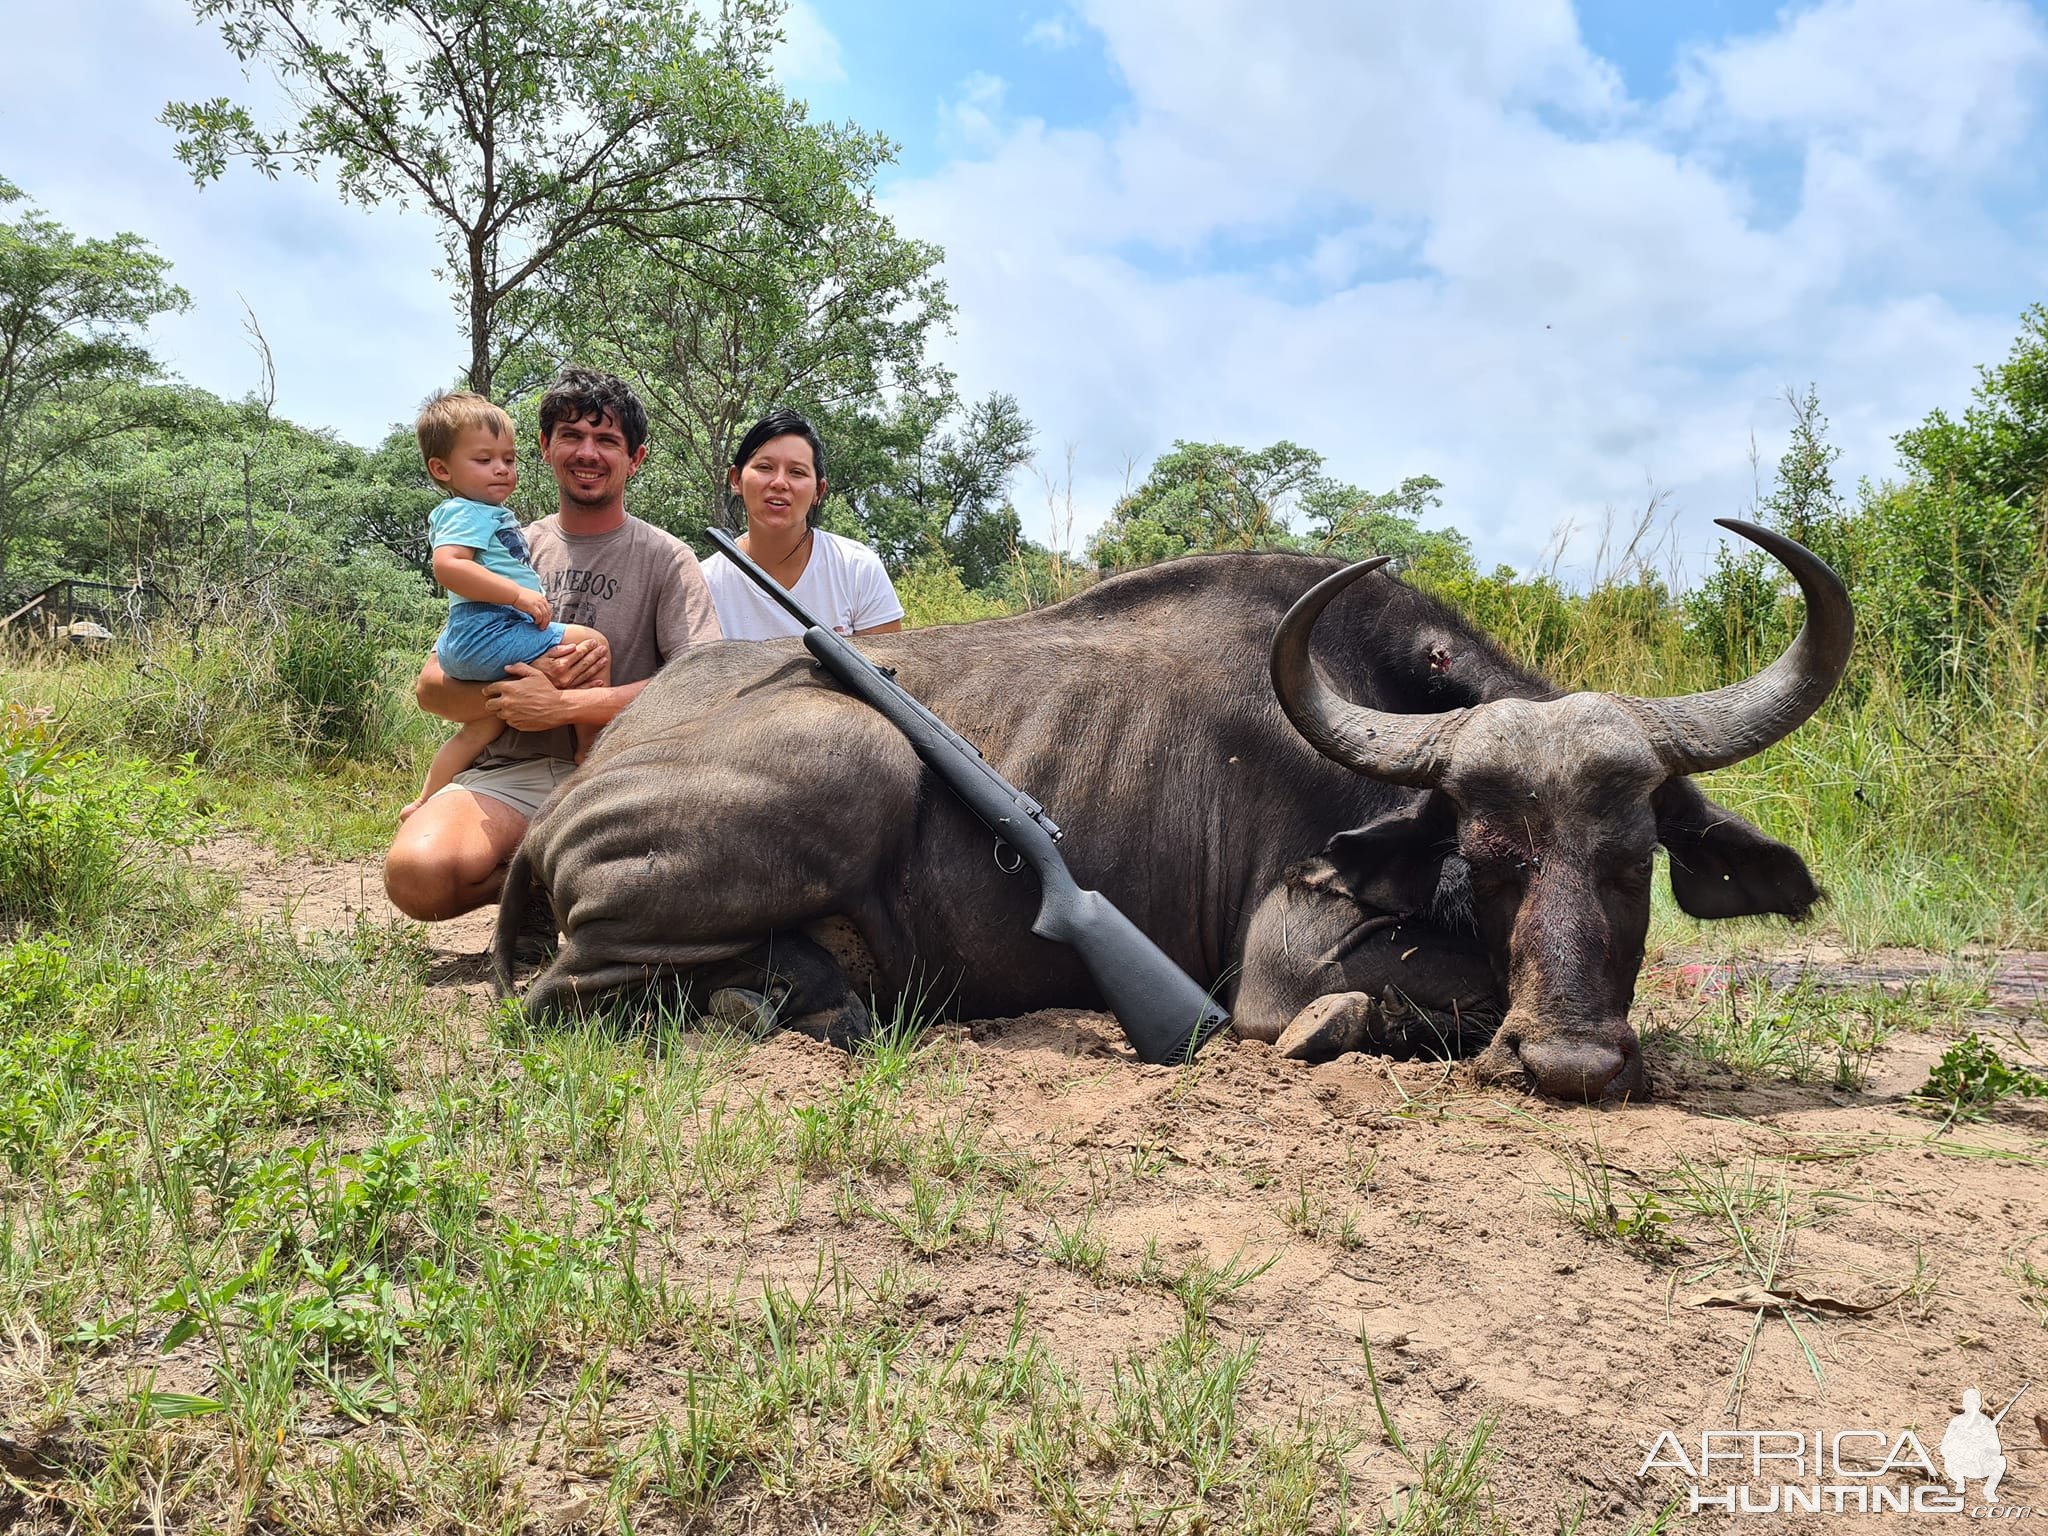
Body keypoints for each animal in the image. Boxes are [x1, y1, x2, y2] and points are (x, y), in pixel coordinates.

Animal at [499, 524, 1859, 1097]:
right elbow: (1353, 1002)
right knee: (559, 995)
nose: (1571, 1059)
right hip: (861, 758)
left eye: (1634, 857)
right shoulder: (1274, 956)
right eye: (1490, 848)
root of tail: (576, 796)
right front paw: (1336, 1027)